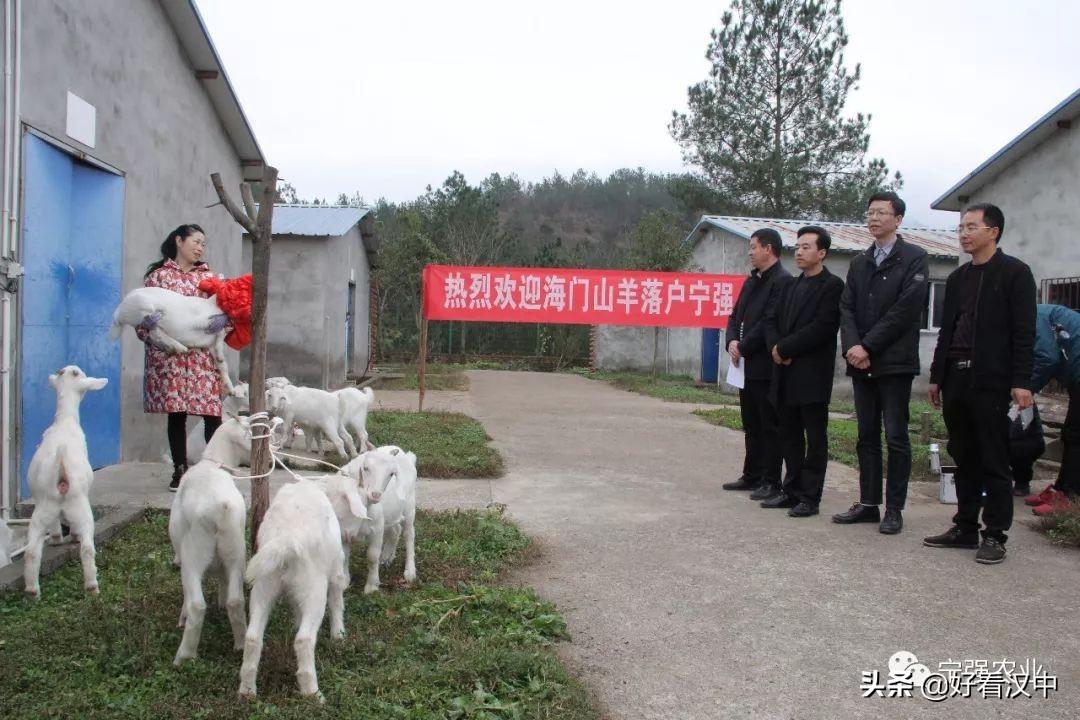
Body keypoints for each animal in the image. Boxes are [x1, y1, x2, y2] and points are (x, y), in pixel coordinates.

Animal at [23, 367, 108, 595]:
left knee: (31, 551)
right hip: (80, 508)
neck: (64, 421)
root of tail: (61, 472)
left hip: (42, 511)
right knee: (87, 548)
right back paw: (92, 586)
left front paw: (56, 539)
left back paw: (32, 591)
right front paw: (66, 537)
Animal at [168, 414, 250, 669]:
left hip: (194, 554)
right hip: (235, 550)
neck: (213, 464)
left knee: (196, 604)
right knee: (236, 600)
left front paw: (182, 617)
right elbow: (224, 583)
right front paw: (221, 602)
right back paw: (240, 644)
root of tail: (221, 508)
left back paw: (184, 655)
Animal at [239, 481, 345, 699]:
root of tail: (287, 538)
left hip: (263, 588)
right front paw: (338, 635)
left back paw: (247, 690)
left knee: (253, 637)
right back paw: (312, 693)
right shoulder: (337, 570)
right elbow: (337, 602)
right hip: (315, 591)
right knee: (304, 639)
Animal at [339, 446, 419, 595]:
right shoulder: (343, 530)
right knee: (395, 530)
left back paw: (410, 572)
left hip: (409, 506)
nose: (375, 495)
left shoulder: (376, 528)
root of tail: (407, 456)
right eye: (365, 468)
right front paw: (344, 582)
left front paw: (371, 587)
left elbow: (372, 556)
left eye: (392, 473)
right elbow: (345, 554)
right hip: (391, 513)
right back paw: (386, 557)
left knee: (409, 534)